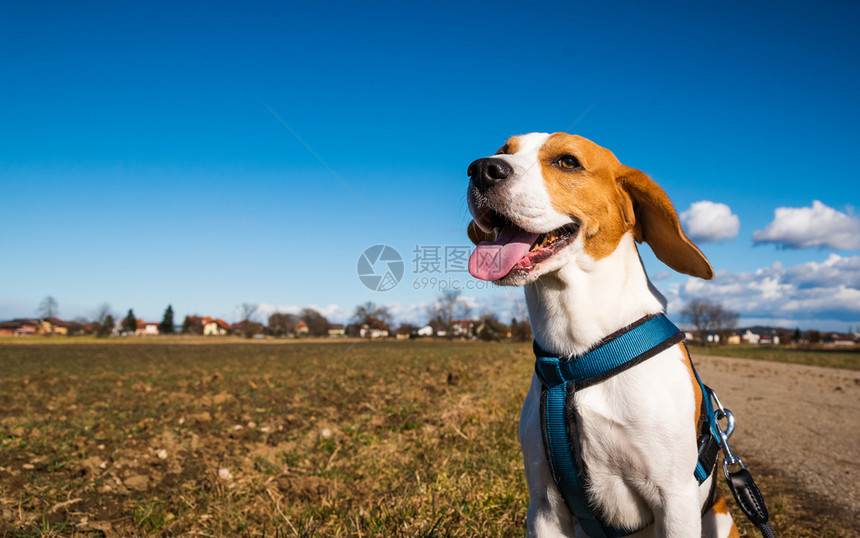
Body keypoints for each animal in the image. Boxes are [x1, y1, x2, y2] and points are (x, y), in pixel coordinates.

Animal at [464, 131, 740, 536]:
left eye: (567, 162)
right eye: (504, 151)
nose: (482, 168)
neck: (575, 356)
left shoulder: (675, 498)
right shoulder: (544, 506)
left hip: (719, 518)